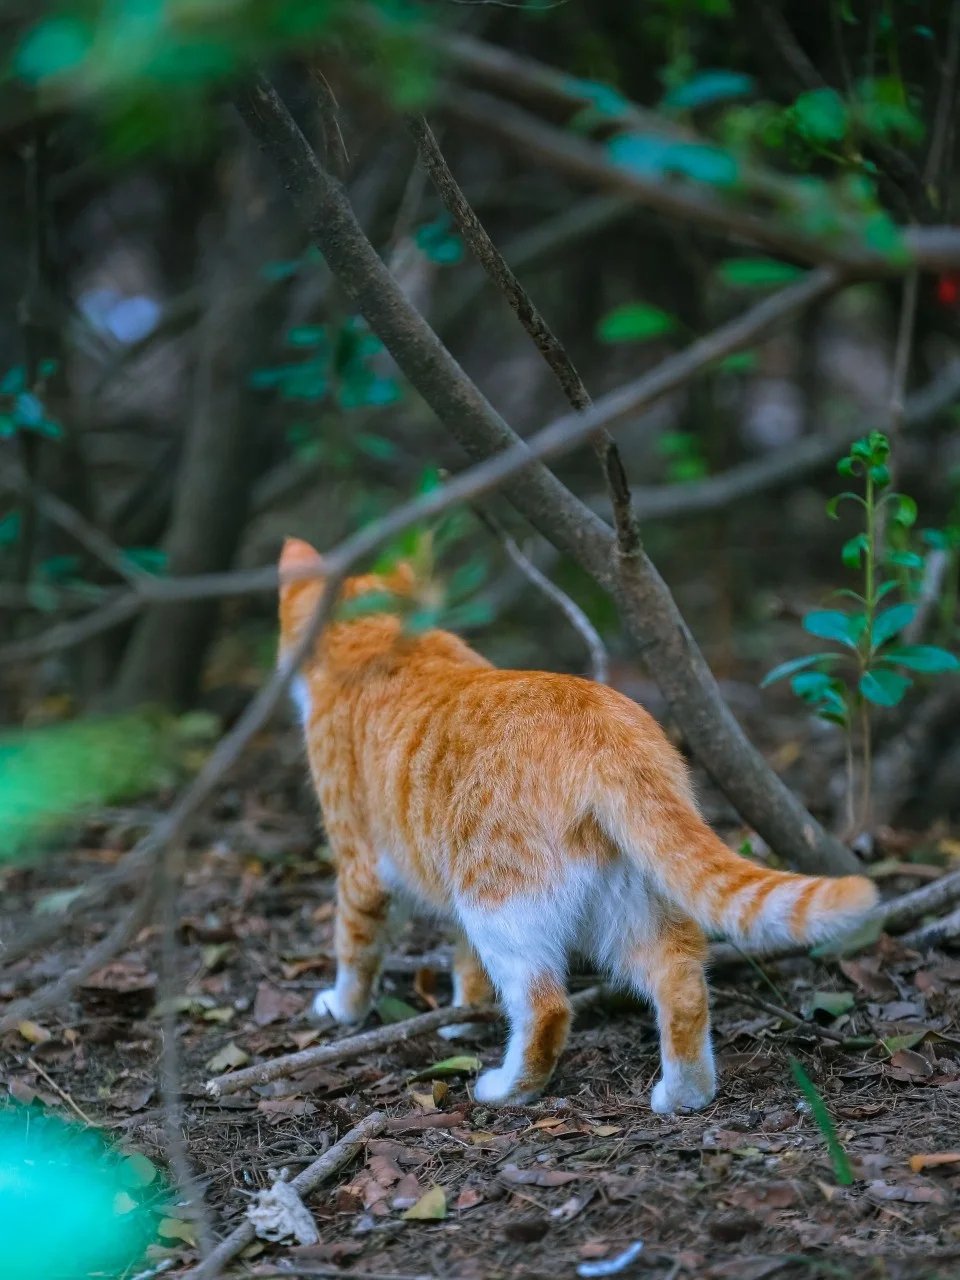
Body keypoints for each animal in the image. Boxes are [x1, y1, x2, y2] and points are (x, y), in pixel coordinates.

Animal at [277, 540, 880, 1111]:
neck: (383, 638)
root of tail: (603, 723)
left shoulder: (361, 866)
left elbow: (355, 946)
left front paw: (344, 1008)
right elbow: (466, 964)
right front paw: (466, 1016)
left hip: (498, 899)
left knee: (547, 1006)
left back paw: (507, 1089)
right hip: (625, 895)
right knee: (682, 978)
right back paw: (685, 1094)